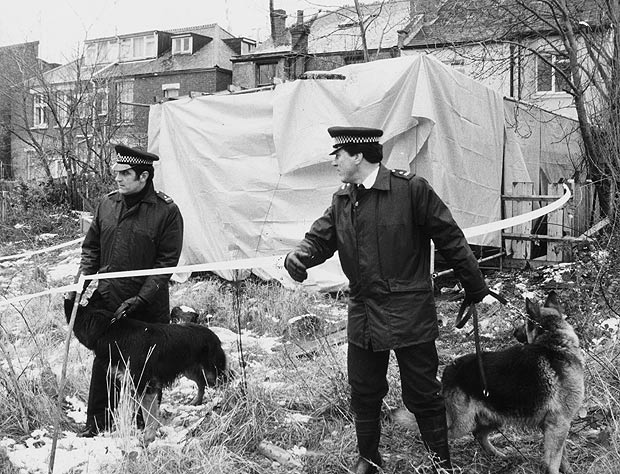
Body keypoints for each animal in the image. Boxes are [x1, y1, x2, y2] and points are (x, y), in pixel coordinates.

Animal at [64, 296, 231, 444]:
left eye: (80, 313)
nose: (68, 301)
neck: (110, 330)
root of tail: (212, 334)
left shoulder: (145, 386)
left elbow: (149, 416)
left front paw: (148, 439)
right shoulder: (132, 385)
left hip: (212, 372)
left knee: (223, 381)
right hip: (190, 370)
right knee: (201, 382)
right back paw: (197, 401)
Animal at [394, 292, 584, 474]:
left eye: (523, 323)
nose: (514, 332)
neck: (555, 342)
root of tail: (449, 368)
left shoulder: (556, 427)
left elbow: (562, 456)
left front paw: (570, 470)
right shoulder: (558, 425)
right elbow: (553, 462)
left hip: (495, 417)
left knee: (478, 434)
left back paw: (497, 454)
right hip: (463, 424)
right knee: (440, 436)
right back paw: (438, 463)